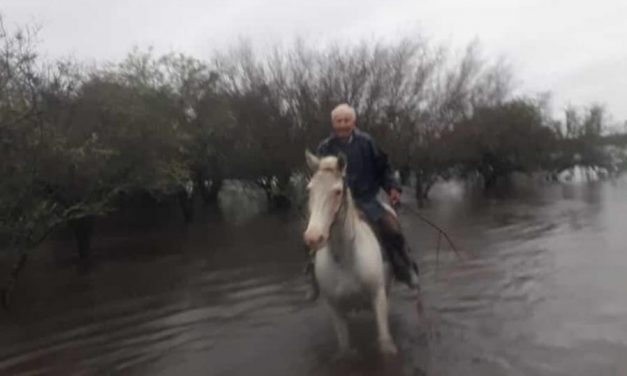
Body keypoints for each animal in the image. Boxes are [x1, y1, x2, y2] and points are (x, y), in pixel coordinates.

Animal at [302, 150, 398, 356]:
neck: (344, 257)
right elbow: (344, 347)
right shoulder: (335, 309)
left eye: (338, 191)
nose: (314, 237)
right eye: (309, 190)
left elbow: (384, 341)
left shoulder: (378, 297)